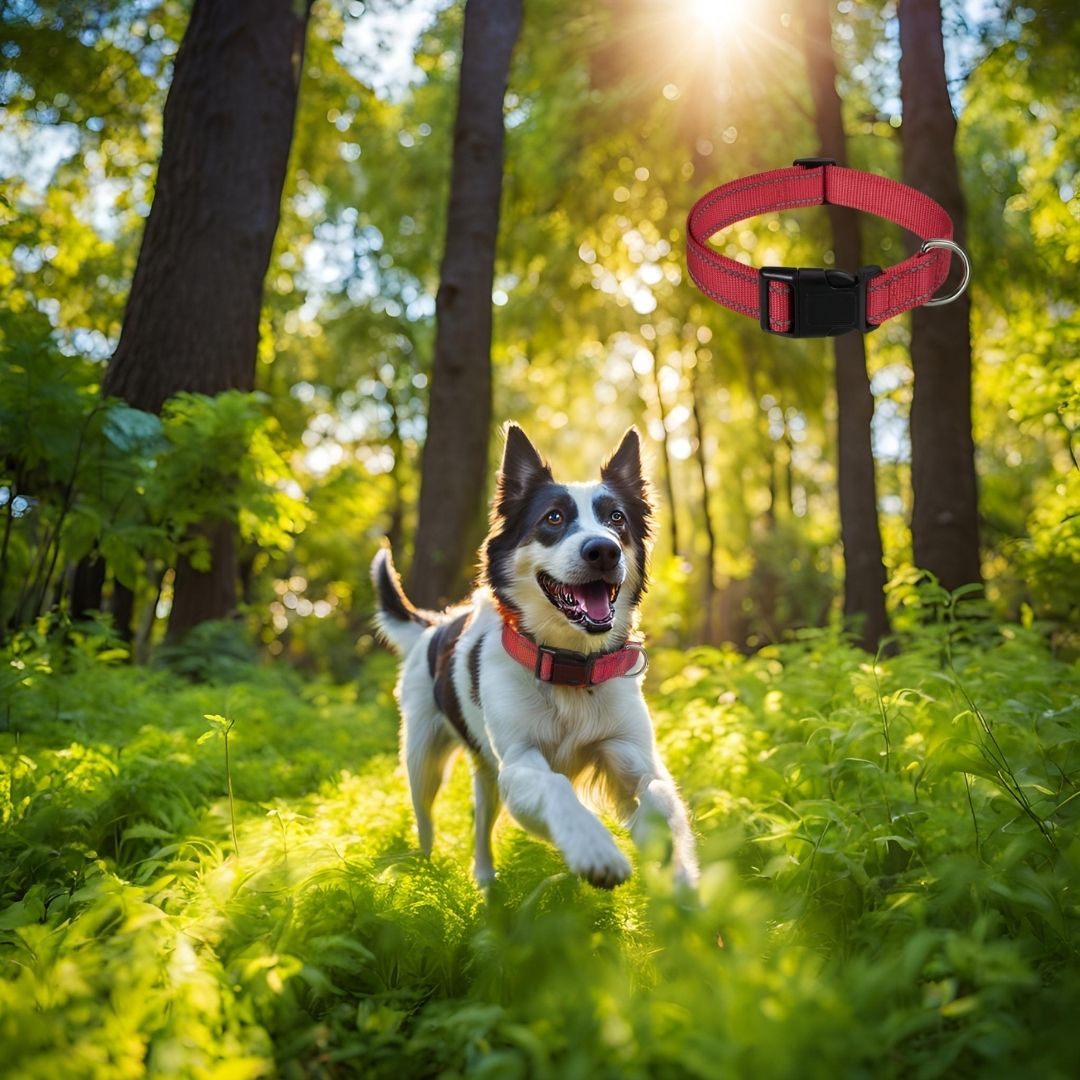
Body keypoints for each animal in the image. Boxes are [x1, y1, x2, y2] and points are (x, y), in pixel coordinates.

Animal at [371, 425, 699, 889]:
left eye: (617, 518)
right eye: (554, 518)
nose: (604, 550)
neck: (570, 666)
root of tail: (433, 625)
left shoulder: (630, 753)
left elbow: (659, 793)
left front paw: (670, 857)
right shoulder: (519, 764)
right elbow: (556, 787)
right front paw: (594, 847)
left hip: (485, 772)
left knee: (481, 820)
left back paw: (486, 882)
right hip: (423, 760)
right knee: (426, 821)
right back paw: (429, 872)